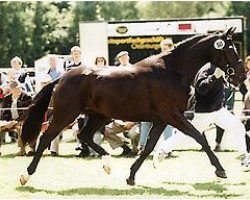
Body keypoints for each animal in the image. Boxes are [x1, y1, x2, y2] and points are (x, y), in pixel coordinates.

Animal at [19, 27, 244, 185]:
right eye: (230, 49)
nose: (242, 76)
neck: (172, 71)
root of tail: (63, 77)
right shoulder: (172, 116)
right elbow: (199, 138)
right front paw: (221, 170)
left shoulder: (162, 119)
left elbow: (149, 147)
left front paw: (131, 176)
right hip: (66, 114)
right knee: (46, 137)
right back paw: (26, 175)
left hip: (98, 115)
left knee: (84, 135)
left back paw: (108, 164)